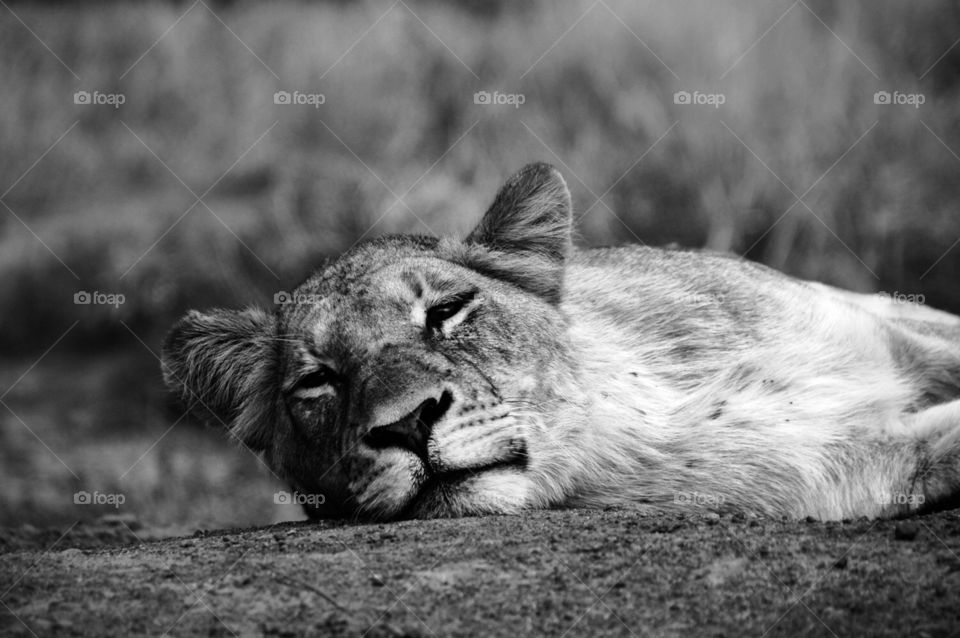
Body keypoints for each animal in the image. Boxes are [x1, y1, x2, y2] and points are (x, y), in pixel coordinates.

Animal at [162, 162, 960, 521]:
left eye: (446, 311)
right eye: (318, 381)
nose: (408, 425)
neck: (648, 411)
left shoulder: (874, 317)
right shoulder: (838, 469)